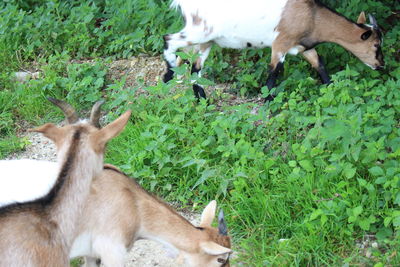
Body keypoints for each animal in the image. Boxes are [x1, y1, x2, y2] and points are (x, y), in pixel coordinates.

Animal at [162, 0, 384, 101]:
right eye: (376, 45)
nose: (381, 65)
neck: (313, 17)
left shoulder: (301, 46)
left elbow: (318, 62)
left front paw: (330, 88)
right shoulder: (280, 44)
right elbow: (274, 72)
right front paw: (268, 101)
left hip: (206, 41)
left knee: (196, 66)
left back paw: (201, 98)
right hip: (199, 32)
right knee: (169, 40)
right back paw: (168, 74)